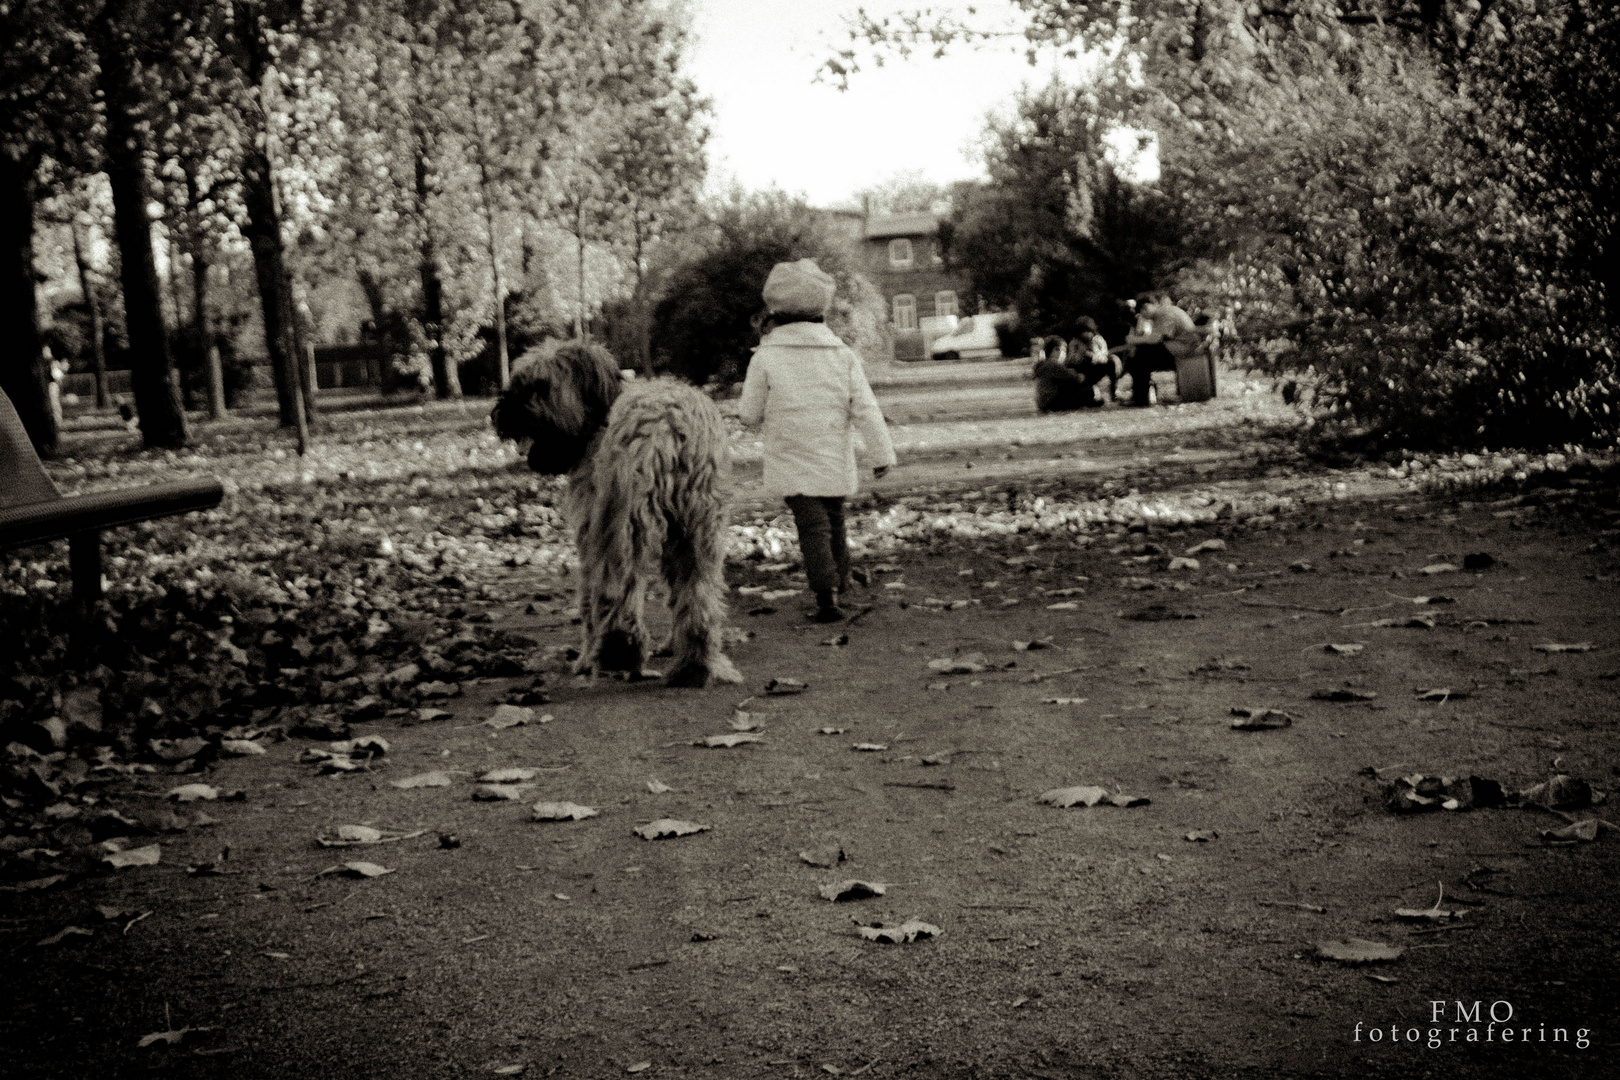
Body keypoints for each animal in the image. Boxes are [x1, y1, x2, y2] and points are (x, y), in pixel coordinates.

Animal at [489, 341, 741, 689]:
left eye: (540, 386)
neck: (598, 418)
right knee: (699, 595)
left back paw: (617, 651)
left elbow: (587, 599)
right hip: (700, 526)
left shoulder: (588, 526)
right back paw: (695, 667)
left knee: (617, 586)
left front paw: (582, 660)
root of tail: (669, 426)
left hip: (620, 517)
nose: (502, 414)